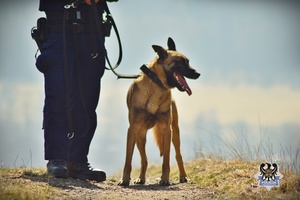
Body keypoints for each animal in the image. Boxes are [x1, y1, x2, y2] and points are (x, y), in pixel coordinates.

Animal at [118, 37, 200, 186]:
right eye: (180, 62)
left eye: (188, 61)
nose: (198, 74)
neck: (156, 85)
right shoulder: (132, 129)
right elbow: (128, 159)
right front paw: (125, 179)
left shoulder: (166, 129)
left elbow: (166, 160)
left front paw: (165, 179)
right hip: (140, 136)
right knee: (144, 159)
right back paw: (141, 178)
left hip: (175, 132)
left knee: (178, 155)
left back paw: (182, 176)